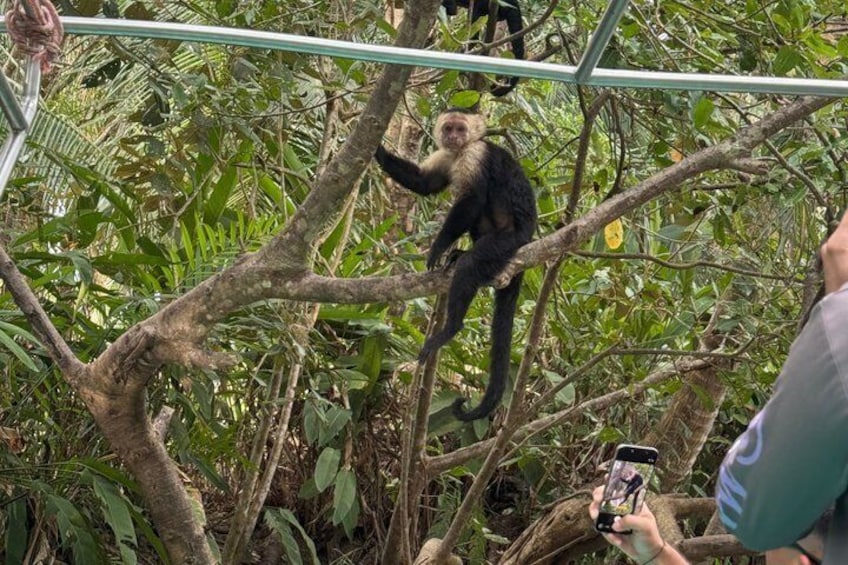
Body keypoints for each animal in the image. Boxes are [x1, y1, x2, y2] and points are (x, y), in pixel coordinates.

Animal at [374, 108, 537, 421]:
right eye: (448, 128)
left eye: (460, 129)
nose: (453, 136)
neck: (461, 150)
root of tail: (529, 238)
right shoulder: (447, 155)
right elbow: (425, 183)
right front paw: (376, 150)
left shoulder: (475, 154)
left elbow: (471, 199)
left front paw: (439, 245)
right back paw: (460, 255)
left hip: (510, 240)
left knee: (473, 264)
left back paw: (451, 326)